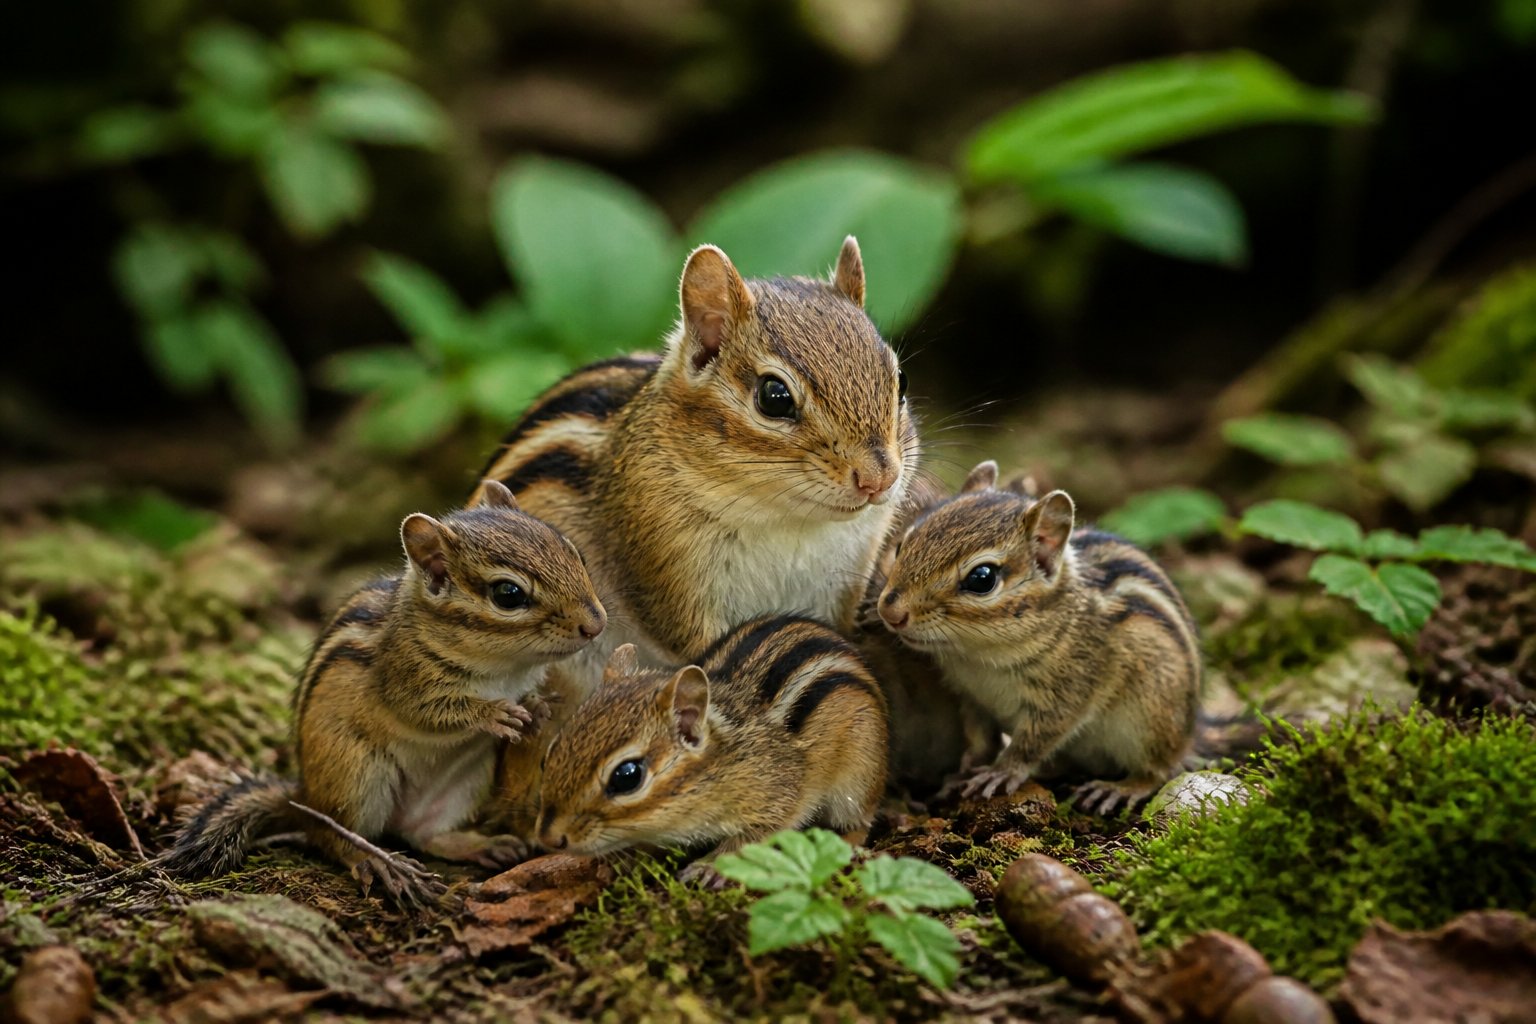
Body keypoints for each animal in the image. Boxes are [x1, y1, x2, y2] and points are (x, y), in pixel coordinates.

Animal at [158, 481, 606, 905]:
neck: (505, 668)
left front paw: (537, 708)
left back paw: (479, 845)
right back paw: (377, 862)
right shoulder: (403, 680)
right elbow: (433, 711)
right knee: (332, 835)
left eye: (574, 553)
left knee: (422, 834)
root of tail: (305, 795)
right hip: (356, 776)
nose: (595, 624)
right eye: (508, 595)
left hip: (463, 784)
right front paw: (495, 714)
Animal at [533, 615, 888, 877]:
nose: (548, 838)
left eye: (628, 776)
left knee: (859, 822)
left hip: (858, 776)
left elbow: (754, 837)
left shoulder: (778, 796)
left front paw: (710, 866)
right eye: (548, 756)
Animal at [876, 461, 1200, 813]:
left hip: (1153, 716)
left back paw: (1121, 788)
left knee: (1160, 770)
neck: (979, 658)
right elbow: (980, 740)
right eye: (901, 545)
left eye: (982, 578)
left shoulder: (1067, 694)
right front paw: (960, 774)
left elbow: (1033, 741)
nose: (891, 612)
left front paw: (1002, 772)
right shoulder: (973, 698)